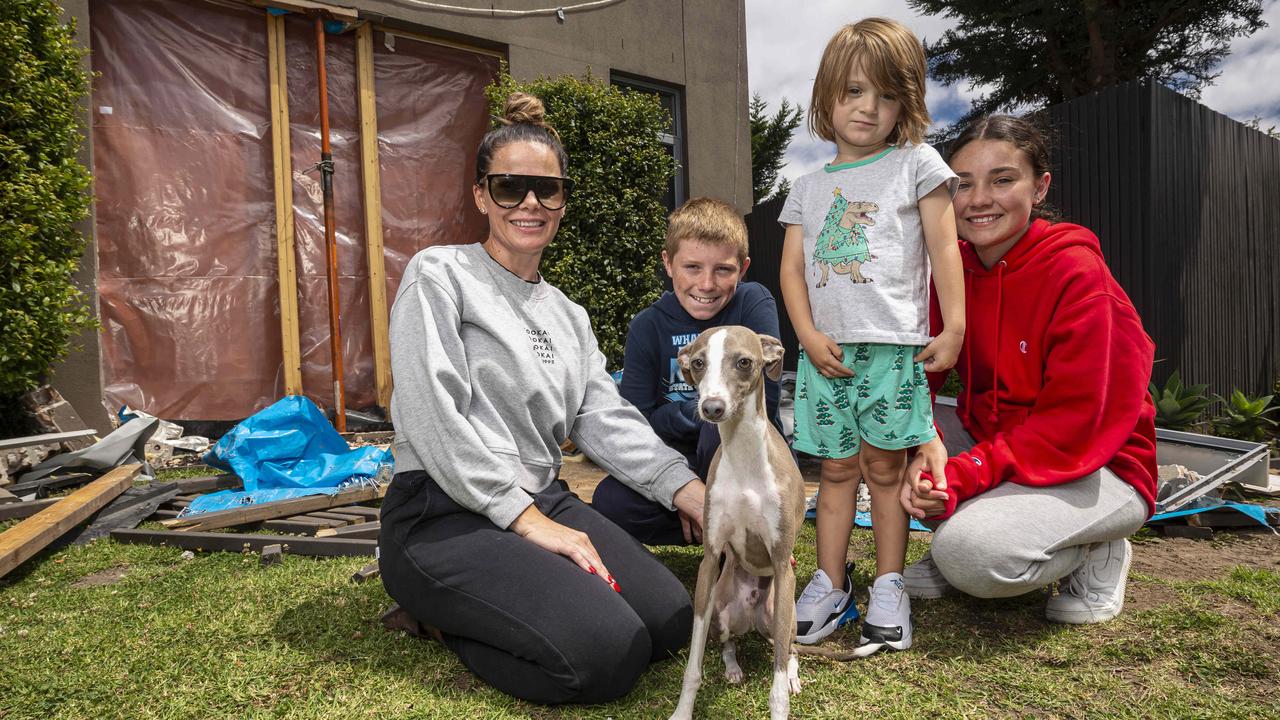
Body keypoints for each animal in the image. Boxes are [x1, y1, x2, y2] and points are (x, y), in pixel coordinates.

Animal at [670, 326, 849, 717]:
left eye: (744, 362)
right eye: (697, 363)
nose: (713, 408)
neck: (744, 461)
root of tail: (753, 621)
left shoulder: (782, 563)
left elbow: (778, 677)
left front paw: (782, 703)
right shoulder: (710, 562)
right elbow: (693, 664)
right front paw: (682, 711)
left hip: (785, 612)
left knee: (789, 648)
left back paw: (794, 676)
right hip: (723, 610)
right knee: (728, 643)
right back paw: (733, 668)